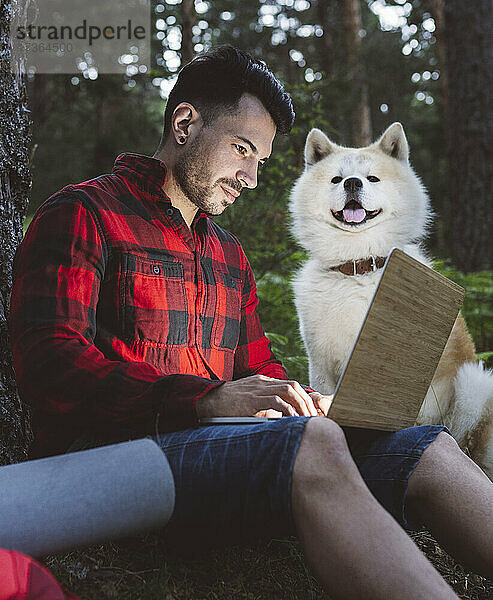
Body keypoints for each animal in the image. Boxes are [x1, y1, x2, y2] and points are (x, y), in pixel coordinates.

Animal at [288, 122, 492, 478]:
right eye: (336, 179)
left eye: (371, 178)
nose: (353, 183)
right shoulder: (321, 365)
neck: (357, 264)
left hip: (474, 384)